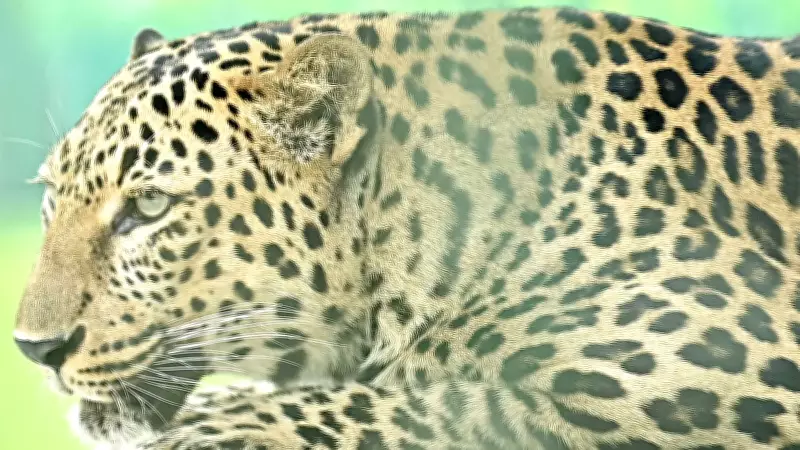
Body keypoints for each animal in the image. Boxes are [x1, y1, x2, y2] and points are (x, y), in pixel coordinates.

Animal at [12, 5, 800, 449]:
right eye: (52, 199)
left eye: (148, 208)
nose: (34, 350)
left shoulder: (735, 381)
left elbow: (458, 403)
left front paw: (221, 421)